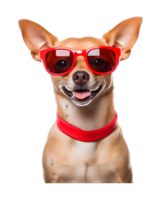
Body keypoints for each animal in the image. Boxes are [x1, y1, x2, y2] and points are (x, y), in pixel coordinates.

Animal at [18, 17, 142, 184]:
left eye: (98, 62)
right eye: (62, 63)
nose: (81, 76)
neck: (85, 131)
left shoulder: (124, 176)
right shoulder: (52, 178)